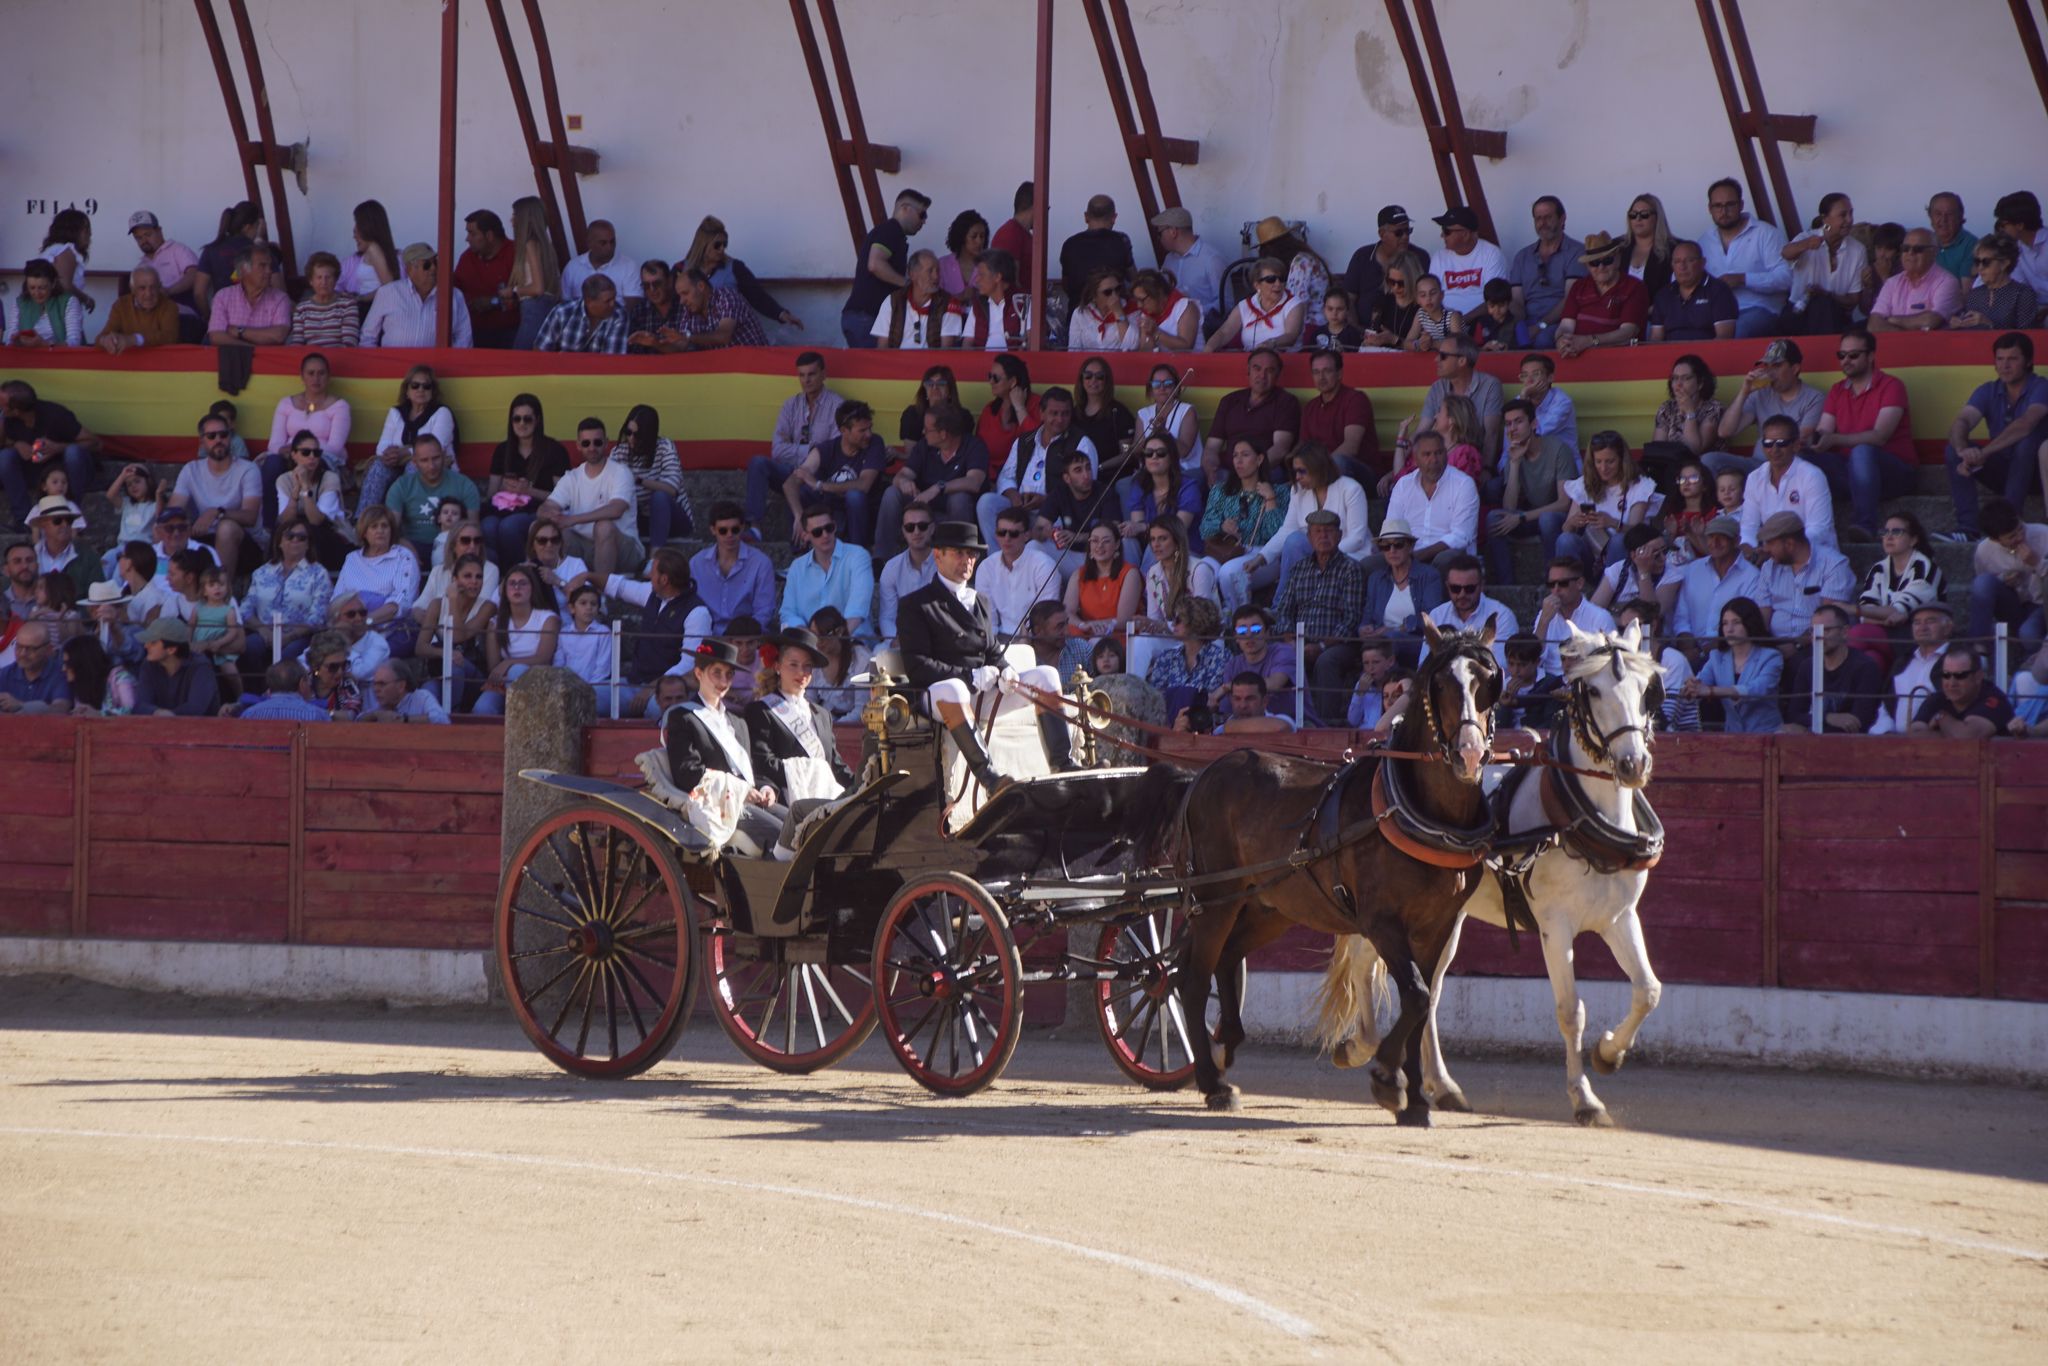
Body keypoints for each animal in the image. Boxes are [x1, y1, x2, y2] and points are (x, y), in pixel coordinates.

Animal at [1163, 626, 1499, 1130]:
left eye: (1487, 681)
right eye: (1439, 684)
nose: (1470, 754)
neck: (1417, 813)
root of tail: (1206, 772)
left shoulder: (1437, 926)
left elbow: (1422, 1002)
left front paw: (1415, 1101)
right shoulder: (1382, 922)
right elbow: (1417, 996)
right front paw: (1386, 1077)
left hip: (1269, 908)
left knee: (1226, 959)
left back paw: (1227, 1046)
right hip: (1216, 899)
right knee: (1193, 978)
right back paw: (1213, 1083)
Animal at [1318, 626, 1671, 1130]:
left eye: (1647, 691)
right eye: (1594, 690)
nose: (1632, 765)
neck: (1578, 815)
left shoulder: (1619, 918)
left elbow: (1648, 991)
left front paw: (1608, 1054)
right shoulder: (1554, 926)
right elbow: (1571, 1011)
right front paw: (1585, 1099)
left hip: (1445, 921)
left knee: (1430, 993)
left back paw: (1442, 1086)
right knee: (1368, 963)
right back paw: (1361, 1044)